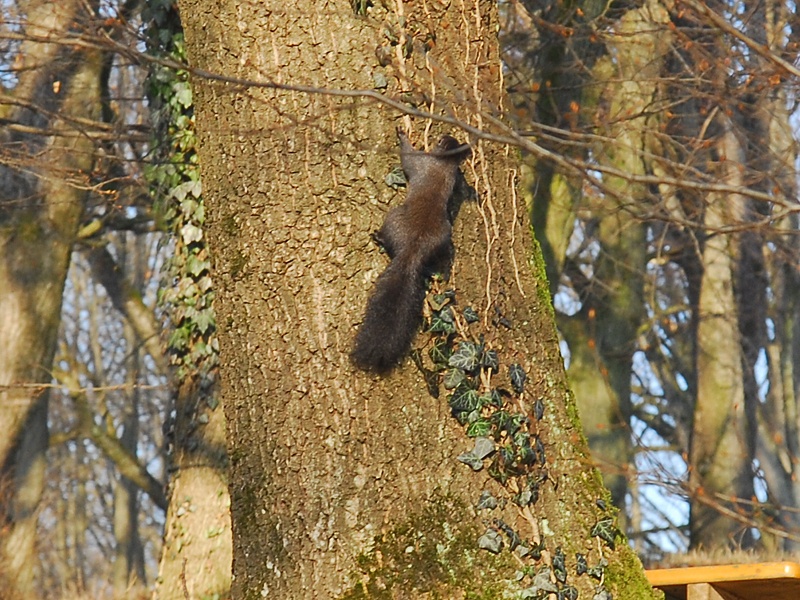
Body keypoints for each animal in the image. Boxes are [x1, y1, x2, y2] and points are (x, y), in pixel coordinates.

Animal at [350, 129, 468, 372]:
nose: (443, 134)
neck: (444, 163)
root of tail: (414, 249)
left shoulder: (420, 161)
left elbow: (408, 157)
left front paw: (402, 136)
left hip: (393, 217)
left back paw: (378, 237)